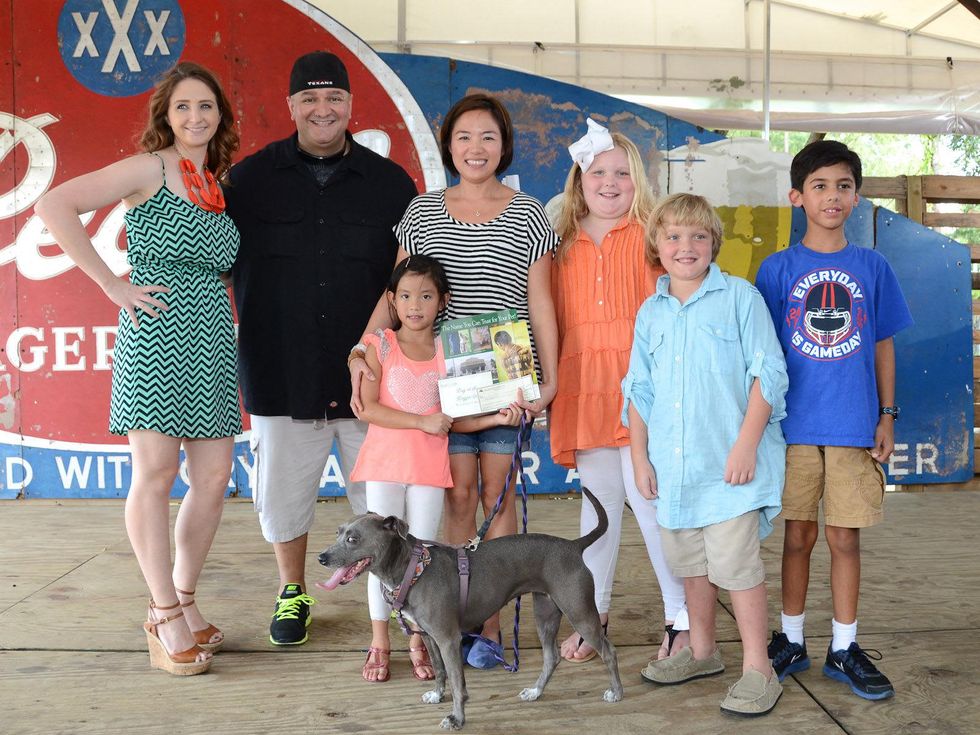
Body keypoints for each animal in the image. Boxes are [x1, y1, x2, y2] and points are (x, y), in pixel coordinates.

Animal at [318, 488, 624, 732]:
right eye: (338, 533)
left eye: (353, 539)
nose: (322, 557)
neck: (412, 569)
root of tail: (573, 546)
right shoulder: (429, 637)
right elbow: (440, 671)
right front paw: (436, 695)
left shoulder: (448, 639)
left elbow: (457, 681)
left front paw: (457, 718)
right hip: (545, 612)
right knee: (551, 657)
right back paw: (536, 691)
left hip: (579, 612)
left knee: (608, 651)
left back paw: (616, 693)